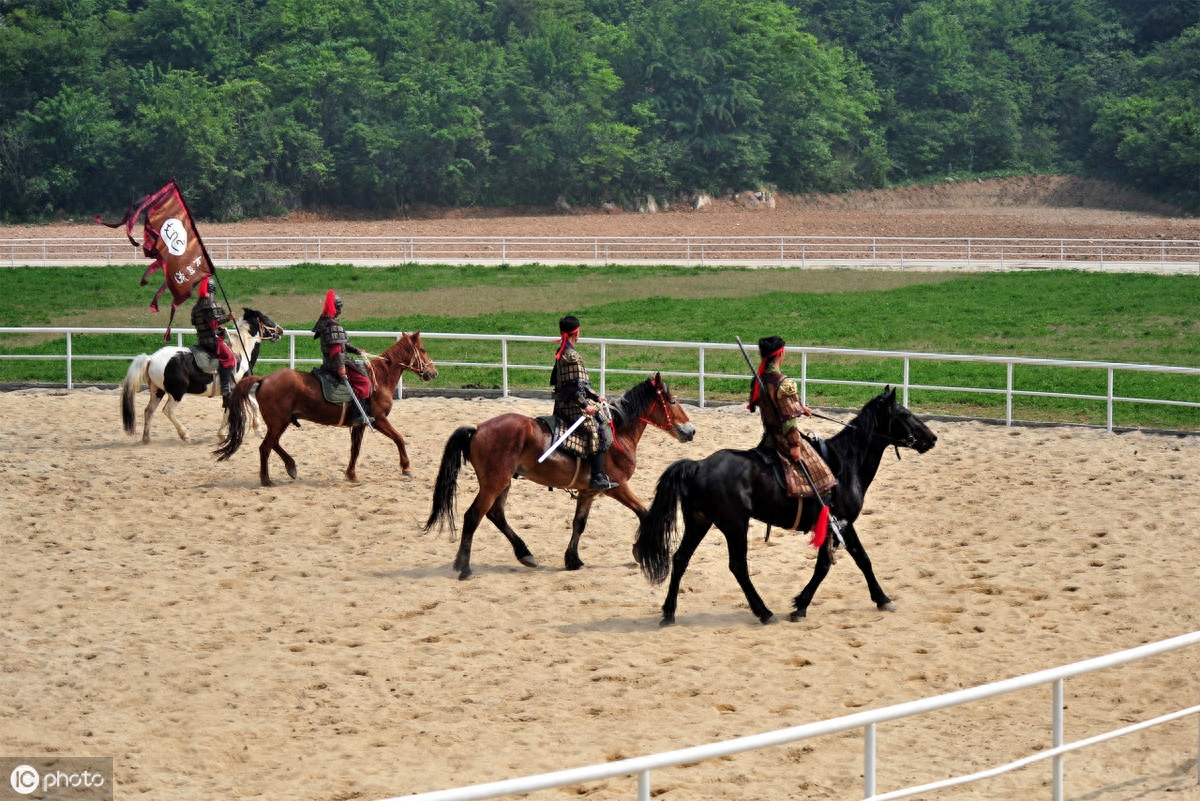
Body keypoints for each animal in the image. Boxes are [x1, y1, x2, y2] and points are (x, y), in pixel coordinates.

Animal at [119, 306, 283, 443]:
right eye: (266, 318)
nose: (280, 330)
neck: (240, 352)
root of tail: (151, 359)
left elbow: (253, 404)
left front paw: (258, 429)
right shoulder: (230, 390)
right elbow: (229, 410)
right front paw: (222, 434)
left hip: (157, 391)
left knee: (149, 411)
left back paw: (146, 438)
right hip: (177, 393)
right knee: (168, 410)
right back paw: (185, 434)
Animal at [214, 333, 436, 489]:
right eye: (423, 349)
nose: (434, 373)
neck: (379, 379)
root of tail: (264, 378)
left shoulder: (360, 424)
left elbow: (355, 450)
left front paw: (351, 474)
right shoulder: (379, 420)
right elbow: (399, 438)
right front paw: (406, 467)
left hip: (280, 422)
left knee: (273, 444)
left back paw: (291, 467)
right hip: (278, 423)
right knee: (265, 447)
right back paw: (267, 480)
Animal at [427, 371, 700, 577]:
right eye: (672, 401)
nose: (691, 430)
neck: (618, 435)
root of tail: (478, 428)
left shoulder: (588, 492)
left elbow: (579, 523)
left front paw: (573, 560)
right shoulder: (618, 487)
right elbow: (644, 513)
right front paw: (639, 550)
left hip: (502, 483)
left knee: (496, 515)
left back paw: (524, 554)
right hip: (494, 483)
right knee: (473, 516)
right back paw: (464, 567)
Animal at [633, 388, 940, 623]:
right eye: (904, 414)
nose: (932, 437)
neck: (844, 464)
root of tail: (697, 465)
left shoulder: (843, 526)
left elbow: (862, 559)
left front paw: (882, 598)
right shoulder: (836, 525)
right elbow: (825, 566)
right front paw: (800, 605)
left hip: (699, 521)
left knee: (680, 559)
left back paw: (669, 613)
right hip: (734, 525)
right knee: (738, 566)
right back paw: (763, 611)